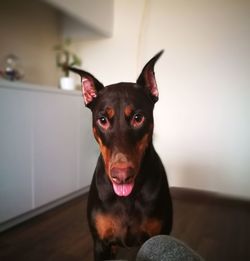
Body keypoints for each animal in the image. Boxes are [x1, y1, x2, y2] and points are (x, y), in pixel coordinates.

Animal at [69, 50, 173, 258]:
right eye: (102, 120)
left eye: (138, 118)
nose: (121, 176)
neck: (127, 198)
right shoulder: (100, 244)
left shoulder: (154, 238)